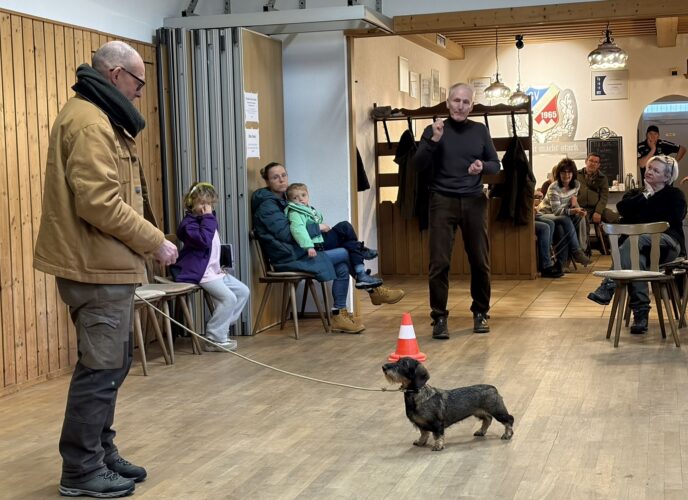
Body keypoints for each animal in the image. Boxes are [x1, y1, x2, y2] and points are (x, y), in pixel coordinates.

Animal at [382, 357, 514, 451]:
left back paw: (507, 434)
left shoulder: (437, 424)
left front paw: (438, 446)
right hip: (479, 412)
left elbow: (438, 435)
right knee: (488, 419)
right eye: (397, 360)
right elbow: (423, 434)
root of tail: (493, 388)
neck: (416, 394)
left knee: (509, 420)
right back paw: (481, 431)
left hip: (497, 411)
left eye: (404, 364)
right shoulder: (421, 424)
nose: (384, 367)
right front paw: (420, 442)